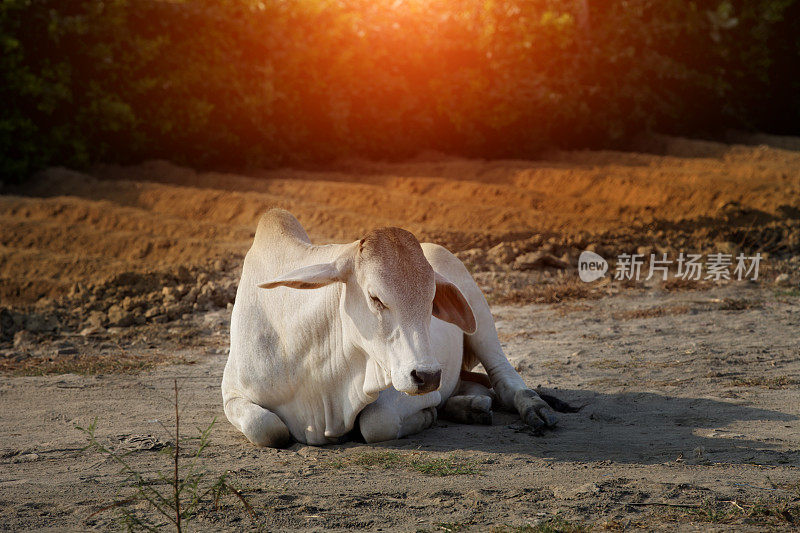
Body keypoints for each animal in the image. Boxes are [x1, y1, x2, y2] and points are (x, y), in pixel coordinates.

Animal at [222, 208, 564, 444]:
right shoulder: (232, 393)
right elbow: (268, 429)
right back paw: (471, 406)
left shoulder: (399, 386)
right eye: (376, 297)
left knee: (503, 379)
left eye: (431, 299)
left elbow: (377, 422)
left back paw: (531, 409)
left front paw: (428, 416)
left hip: (481, 321)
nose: (429, 375)